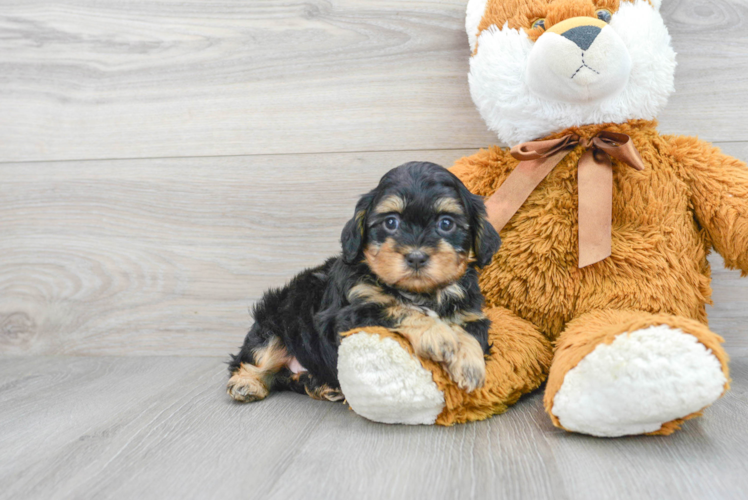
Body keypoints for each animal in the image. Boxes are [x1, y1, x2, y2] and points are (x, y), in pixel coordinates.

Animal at [225, 162, 500, 404]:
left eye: (446, 223)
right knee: (255, 357)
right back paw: (246, 383)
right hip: (273, 322)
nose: (416, 256)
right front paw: (439, 335)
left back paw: (324, 387)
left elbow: (471, 332)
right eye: (391, 222)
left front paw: (470, 363)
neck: (419, 292)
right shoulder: (348, 316)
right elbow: (399, 308)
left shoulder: (471, 313)